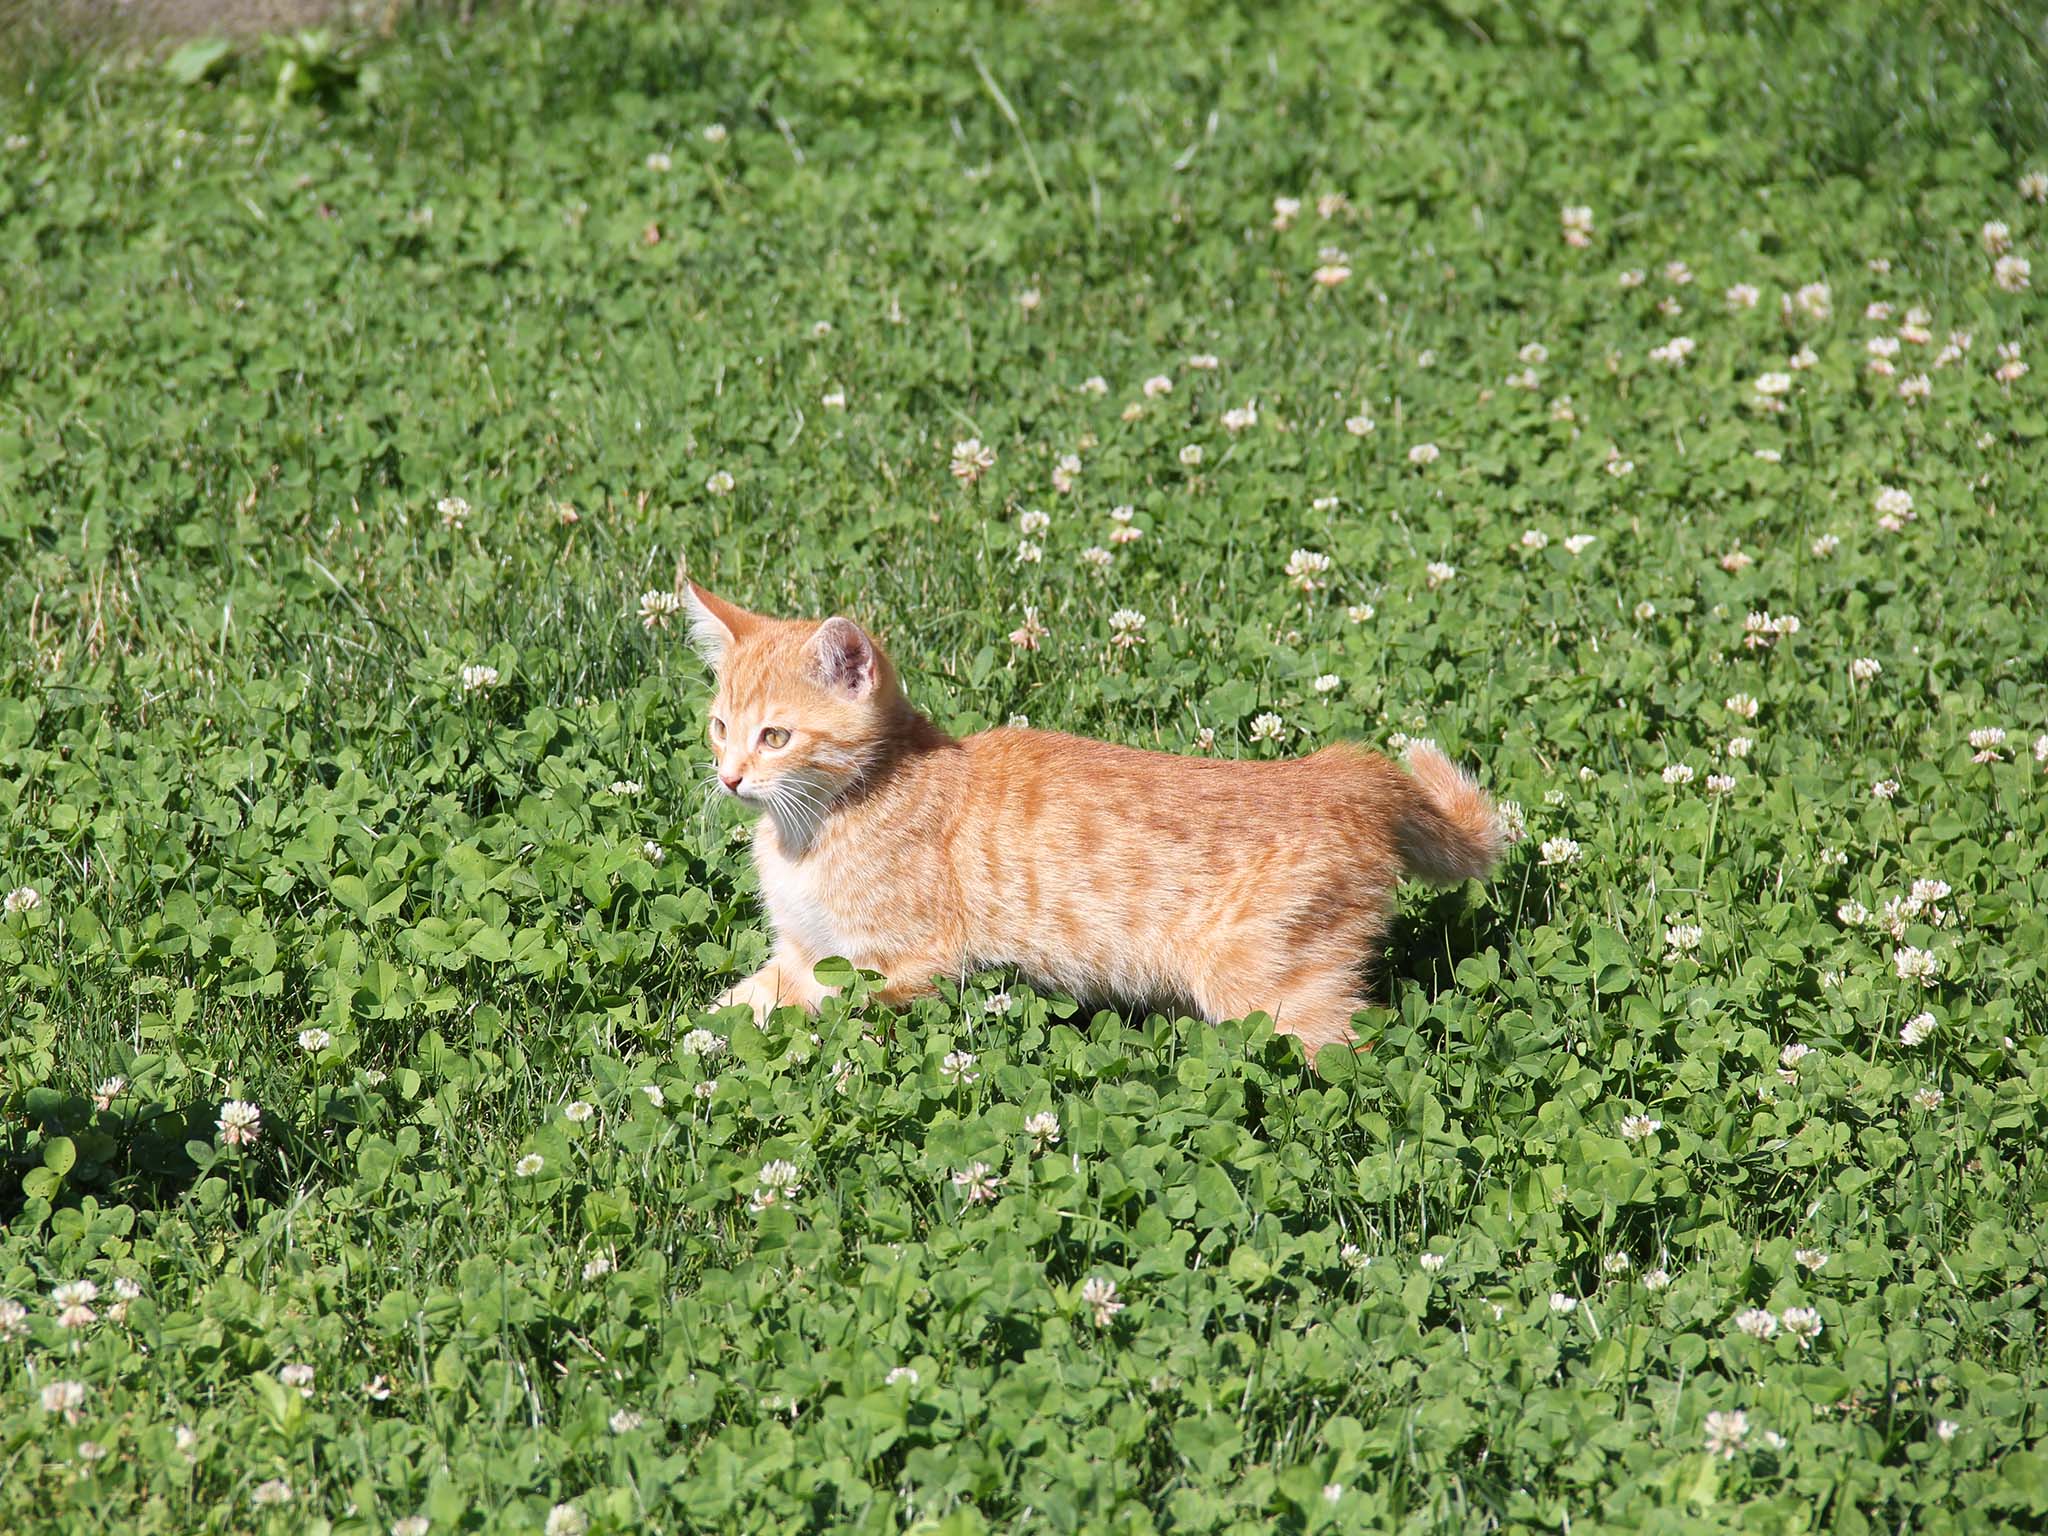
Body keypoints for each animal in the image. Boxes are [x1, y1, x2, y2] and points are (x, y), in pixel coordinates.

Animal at [684, 582, 1504, 1056]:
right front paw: (689, 1045)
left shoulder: (899, 964)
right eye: (721, 727)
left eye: (776, 737)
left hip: (1274, 990)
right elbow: (738, 1003)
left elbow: (819, 1010)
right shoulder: (799, 951)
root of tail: (1343, 769)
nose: (729, 777)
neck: (810, 829)